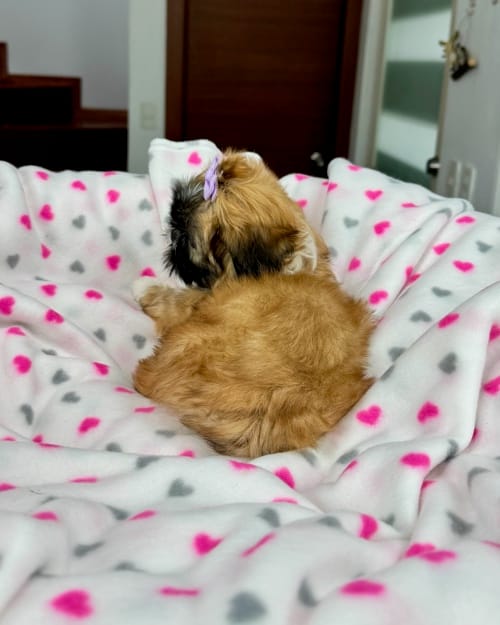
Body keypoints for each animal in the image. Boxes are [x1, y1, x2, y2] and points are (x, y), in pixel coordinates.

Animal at [132, 150, 374, 458]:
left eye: (187, 238)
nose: (171, 235)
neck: (287, 263)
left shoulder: (202, 299)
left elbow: (179, 300)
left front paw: (144, 287)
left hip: (186, 341)